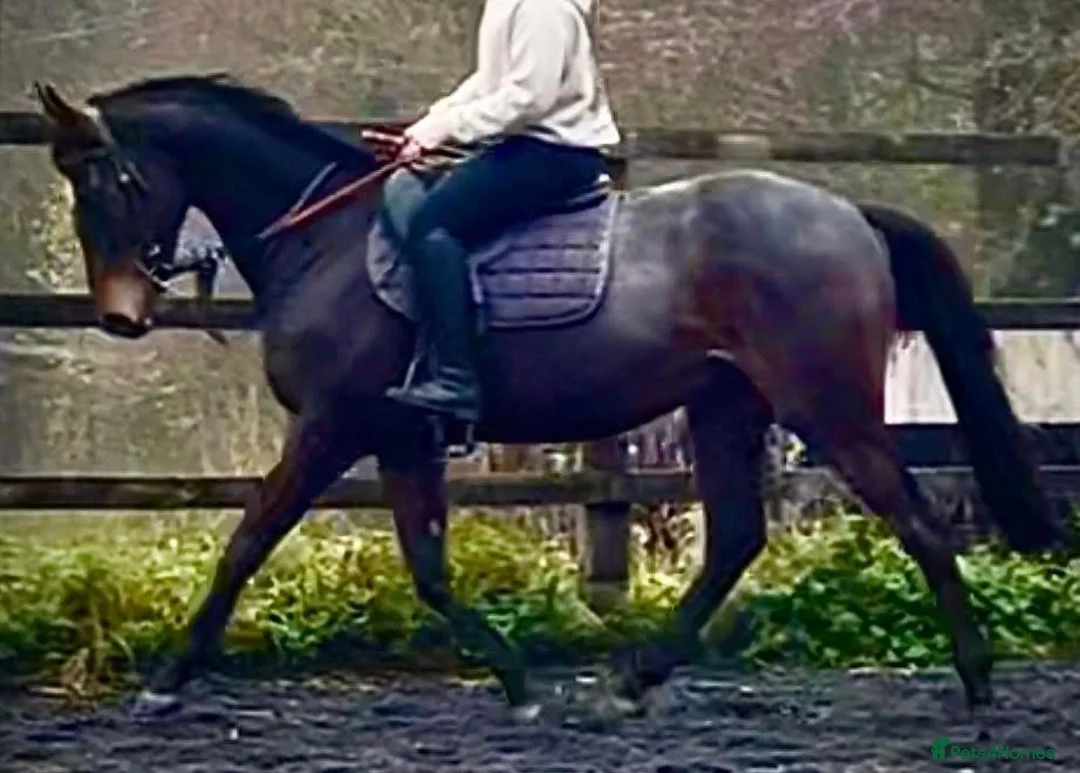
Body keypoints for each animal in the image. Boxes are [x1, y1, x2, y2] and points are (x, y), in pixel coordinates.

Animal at [32, 73, 1067, 724]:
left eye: (109, 180)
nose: (121, 315)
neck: (323, 239)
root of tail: (848, 214)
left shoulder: (331, 426)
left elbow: (247, 541)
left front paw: (167, 678)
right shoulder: (402, 438)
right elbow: (429, 569)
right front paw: (519, 679)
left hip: (828, 405)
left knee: (917, 524)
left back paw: (978, 685)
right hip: (726, 407)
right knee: (736, 537)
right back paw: (634, 680)